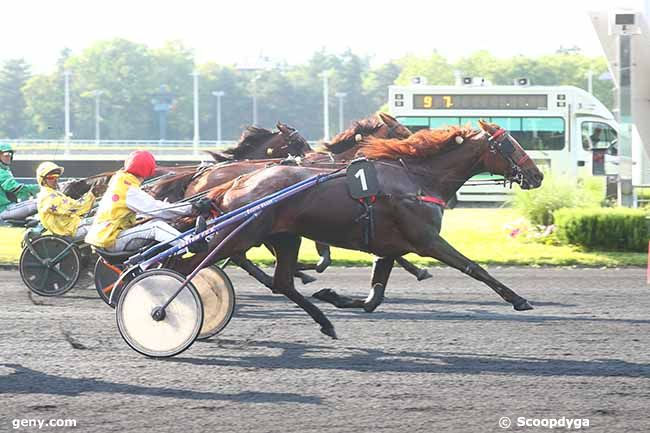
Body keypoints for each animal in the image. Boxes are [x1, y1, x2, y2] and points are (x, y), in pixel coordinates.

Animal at [176, 120, 540, 338]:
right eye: (509, 145)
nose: (537, 175)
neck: (417, 180)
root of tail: (234, 182)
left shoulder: (389, 248)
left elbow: (372, 299)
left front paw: (332, 295)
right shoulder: (426, 239)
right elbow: (474, 267)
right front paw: (519, 299)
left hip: (283, 236)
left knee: (280, 282)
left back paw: (324, 320)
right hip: (240, 235)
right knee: (188, 265)